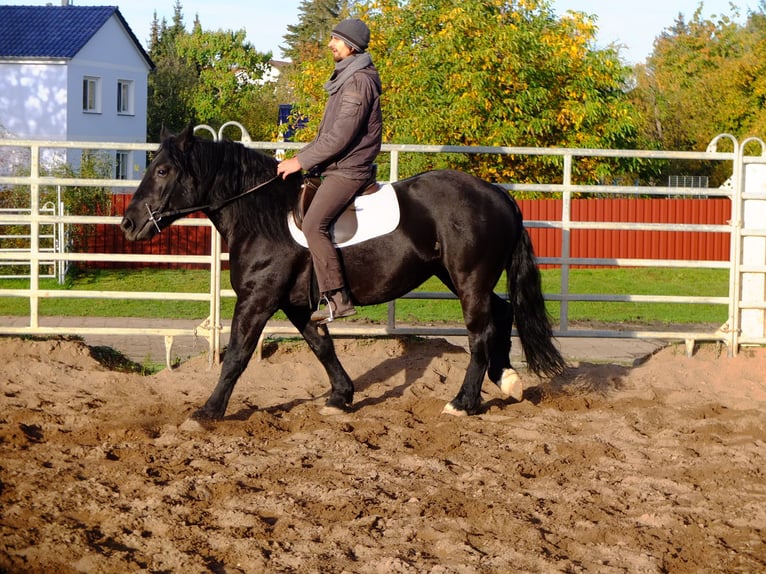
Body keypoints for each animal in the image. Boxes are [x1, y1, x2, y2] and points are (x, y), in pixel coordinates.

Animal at [120, 127, 564, 418]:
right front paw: (341, 396)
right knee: (502, 314)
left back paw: (464, 402)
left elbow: (237, 355)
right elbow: (322, 347)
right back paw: (507, 380)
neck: (265, 216)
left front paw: (209, 411)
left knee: (480, 333)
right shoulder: (297, 304)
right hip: (458, 278)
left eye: (163, 171)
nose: (128, 223)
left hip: (469, 280)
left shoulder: (258, 298)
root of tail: (498, 194)